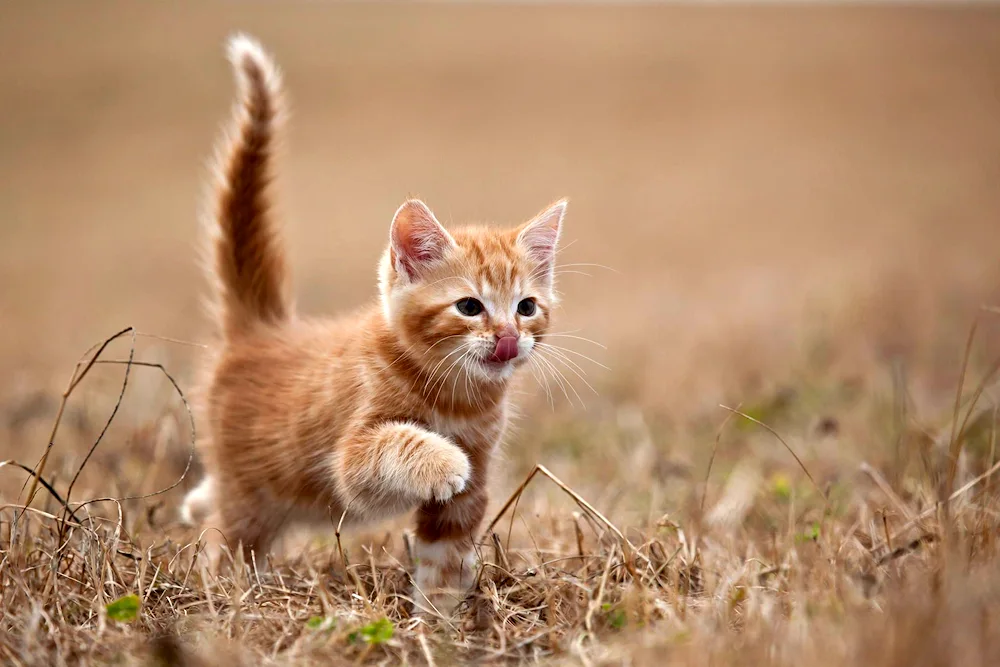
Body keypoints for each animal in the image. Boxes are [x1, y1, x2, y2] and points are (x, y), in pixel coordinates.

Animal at [183, 34, 568, 612]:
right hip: (249, 496)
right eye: (469, 307)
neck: (455, 395)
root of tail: (263, 329)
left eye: (526, 308)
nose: (506, 338)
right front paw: (443, 462)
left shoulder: (470, 489)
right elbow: (394, 444)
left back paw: (194, 502)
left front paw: (440, 617)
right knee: (227, 542)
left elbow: (446, 553)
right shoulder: (352, 458)